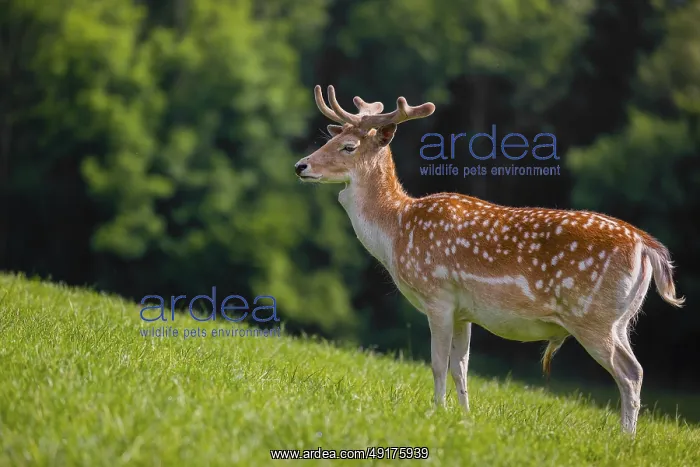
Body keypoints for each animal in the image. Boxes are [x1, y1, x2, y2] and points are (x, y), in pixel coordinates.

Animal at [294, 85, 685, 435]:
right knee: (635, 369)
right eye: (329, 138)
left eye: (348, 146)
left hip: (593, 316)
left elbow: (437, 364)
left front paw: (436, 413)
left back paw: (625, 438)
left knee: (630, 374)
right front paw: (464, 417)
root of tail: (646, 246)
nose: (301, 165)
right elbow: (461, 367)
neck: (397, 230)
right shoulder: (463, 310)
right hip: (620, 319)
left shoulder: (437, 295)